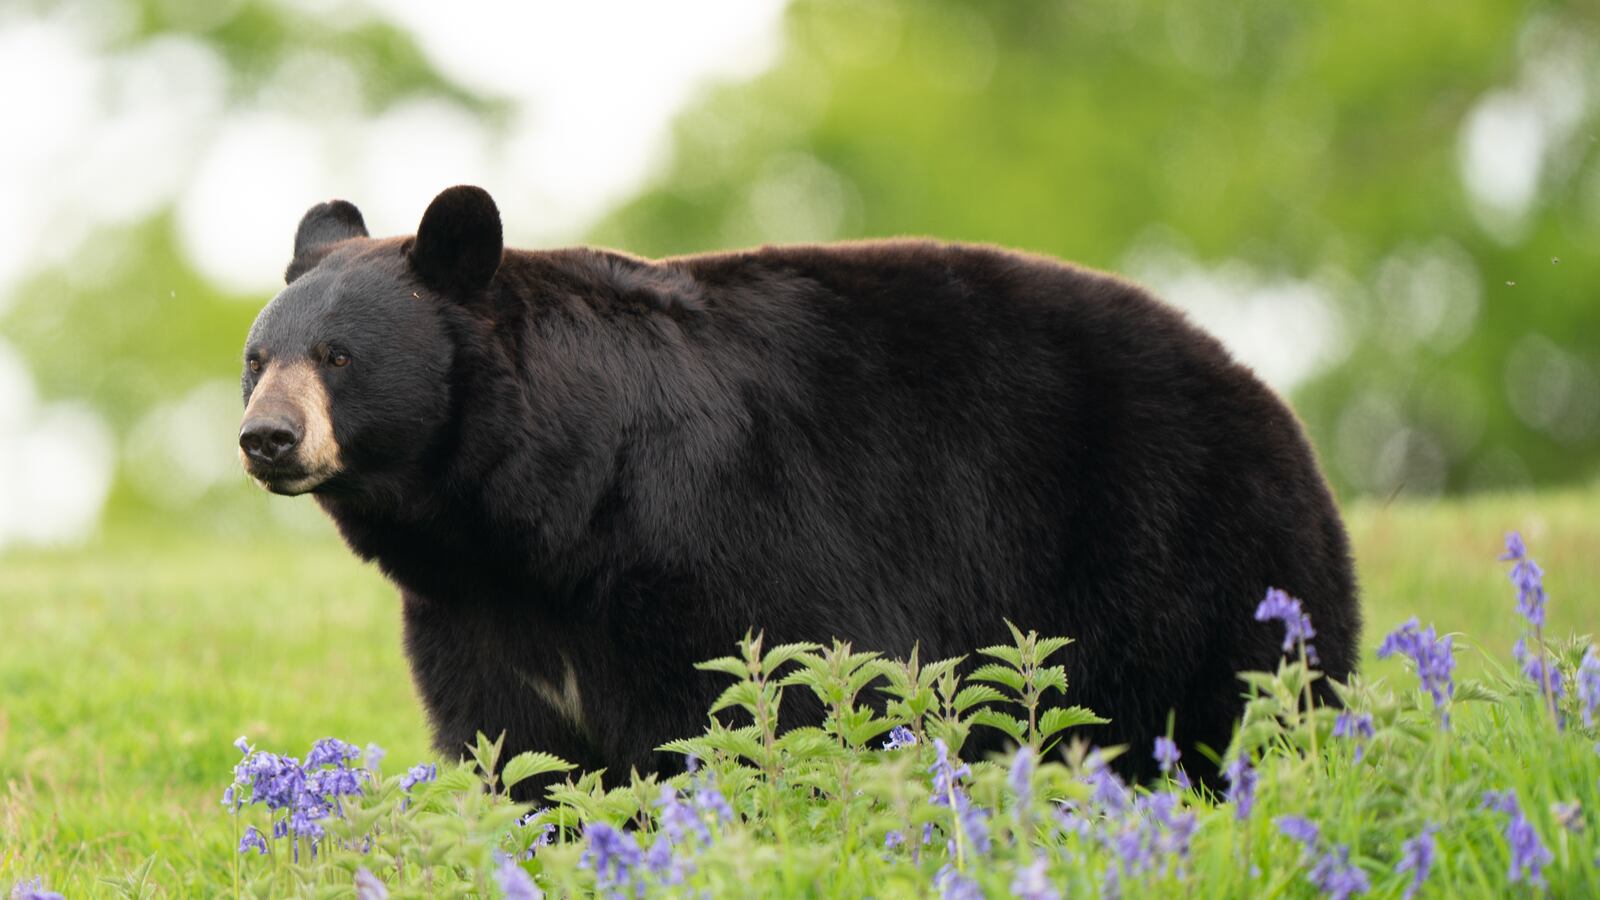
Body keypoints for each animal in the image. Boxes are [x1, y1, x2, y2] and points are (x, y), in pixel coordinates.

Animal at [239, 184, 1359, 793]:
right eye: (258, 356)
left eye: (338, 355)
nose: (266, 437)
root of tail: (1268, 400)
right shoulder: (476, 618)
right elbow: (522, 754)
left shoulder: (717, 537)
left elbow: (764, 705)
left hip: (1183, 548)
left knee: (1238, 703)